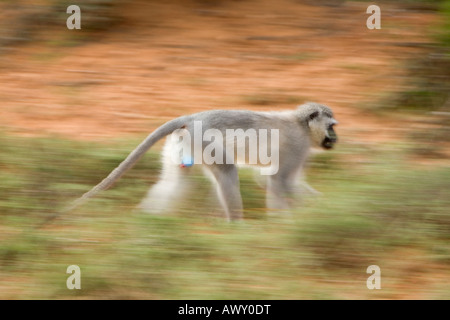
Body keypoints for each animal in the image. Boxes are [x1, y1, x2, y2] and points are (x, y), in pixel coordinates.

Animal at [64, 102, 338, 220]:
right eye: (332, 126)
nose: (335, 138)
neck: (301, 125)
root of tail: (192, 117)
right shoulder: (297, 146)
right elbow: (278, 181)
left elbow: (271, 180)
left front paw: (323, 206)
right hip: (205, 141)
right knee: (227, 172)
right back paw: (237, 227)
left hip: (182, 145)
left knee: (176, 183)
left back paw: (147, 222)